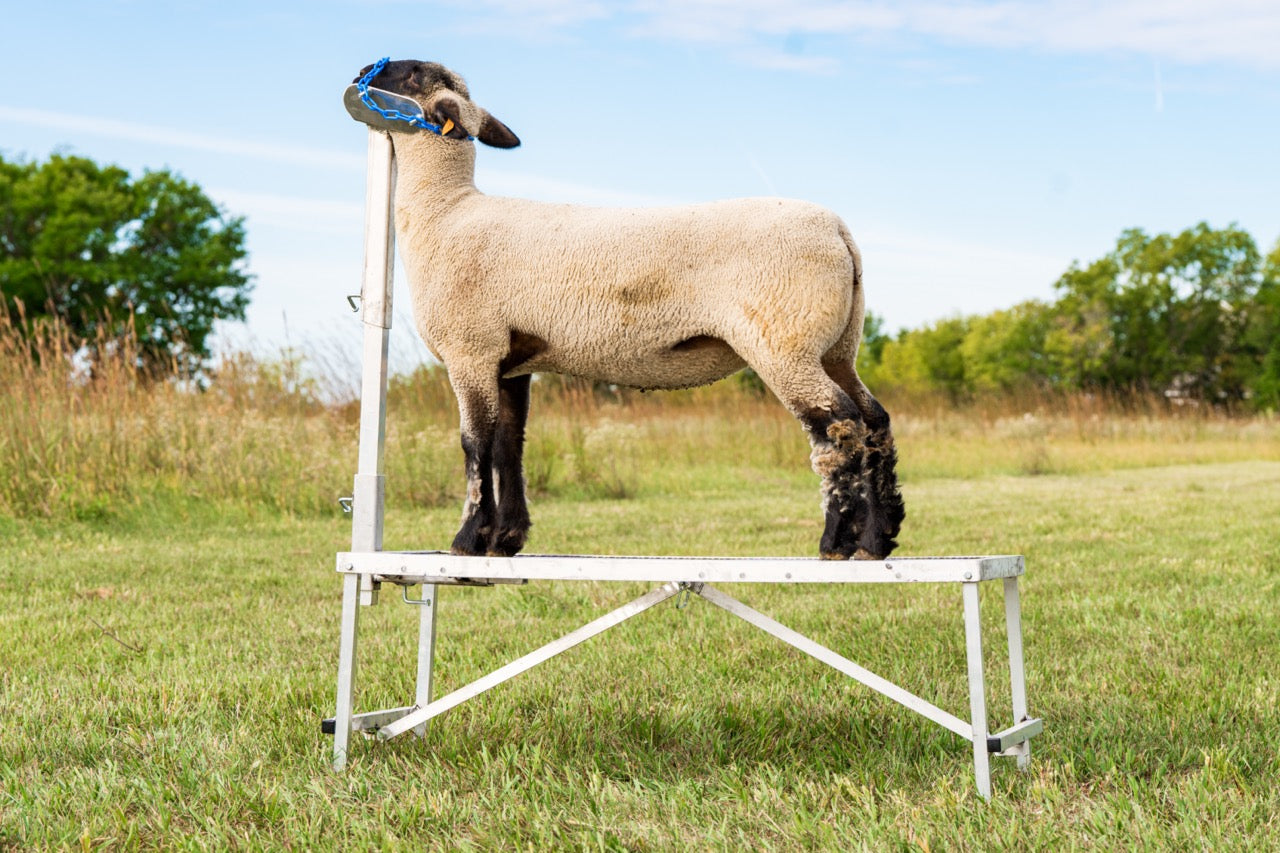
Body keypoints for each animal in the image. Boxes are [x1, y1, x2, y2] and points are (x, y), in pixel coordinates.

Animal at [352, 59, 905, 561]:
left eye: (412, 73)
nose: (359, 71)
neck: (444, 213)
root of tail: (840, 232)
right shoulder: (511, 361)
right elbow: (511, 444)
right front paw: (505, 540)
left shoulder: (471, 350)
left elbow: (476, 445)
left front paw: (468, 539)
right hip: (836, 347)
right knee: (873, 418)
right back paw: (878, 538)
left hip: (784, 341)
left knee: (837, 426)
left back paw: (836, 542)